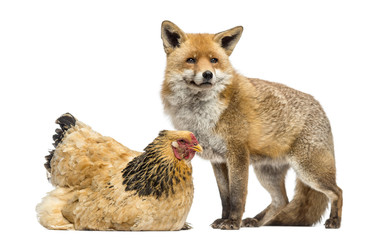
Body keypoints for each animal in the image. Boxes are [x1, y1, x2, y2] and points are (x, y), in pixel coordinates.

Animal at [159, 20, 340, 229]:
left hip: (309, 171)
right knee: (281, 201)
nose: (207, 75)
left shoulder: (237, 153)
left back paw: (335, 221)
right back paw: (257, 221)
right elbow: (225, 196)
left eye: (213, 60)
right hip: (267, 173)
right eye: (191, 60)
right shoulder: (218, 160)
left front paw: (232, 222)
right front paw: (224, 218)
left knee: (337, 191)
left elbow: (237, 194)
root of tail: (320, 107)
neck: (202, 114)